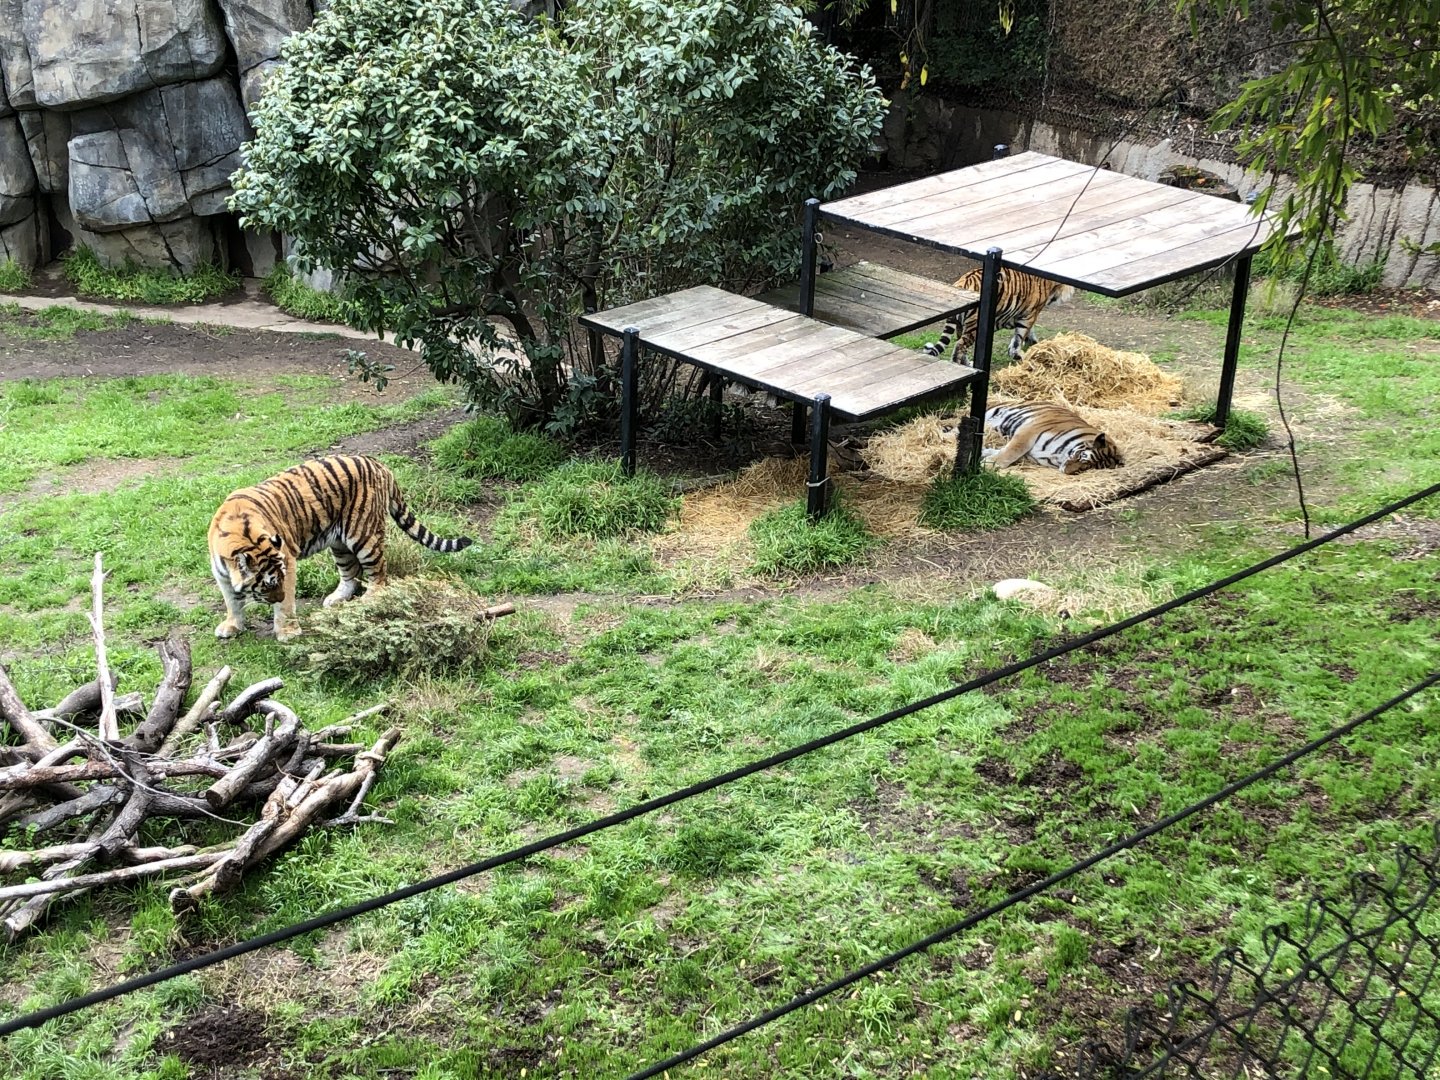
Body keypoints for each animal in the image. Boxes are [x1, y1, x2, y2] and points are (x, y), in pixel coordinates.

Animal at [208, 454, 473, 641]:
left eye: (278, 582)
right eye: (268, 585)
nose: (279, 595)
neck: (238, 537)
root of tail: (379, 464)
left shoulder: (289, 560)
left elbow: (284, 607)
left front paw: (288, 631)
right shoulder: (221, 575)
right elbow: (232, 602)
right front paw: (232, 625)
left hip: (364, 535)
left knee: (379, 573)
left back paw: (369, 600)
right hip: (339, 543)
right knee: (351, 573)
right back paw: (337, 598)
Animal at [924, 268, 1075, 363]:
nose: (1070, 293)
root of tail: (961, 283)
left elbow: (1026, 333)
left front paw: (1031, 344)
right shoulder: (1029, 314)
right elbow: (1019, 337)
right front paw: (1019, 354)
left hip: (962, 326)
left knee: (961, 344)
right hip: (974, 327)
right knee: (960, 346)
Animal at [982, 401, 1123, 475]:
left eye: (1086, 467)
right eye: (1082, 457)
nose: (1066, 471)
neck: (1061, 455)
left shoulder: (1030, 455)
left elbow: (1005, 452)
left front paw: (985, 454)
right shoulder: (1030, 431)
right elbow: (1012, 451)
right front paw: (988, 464)